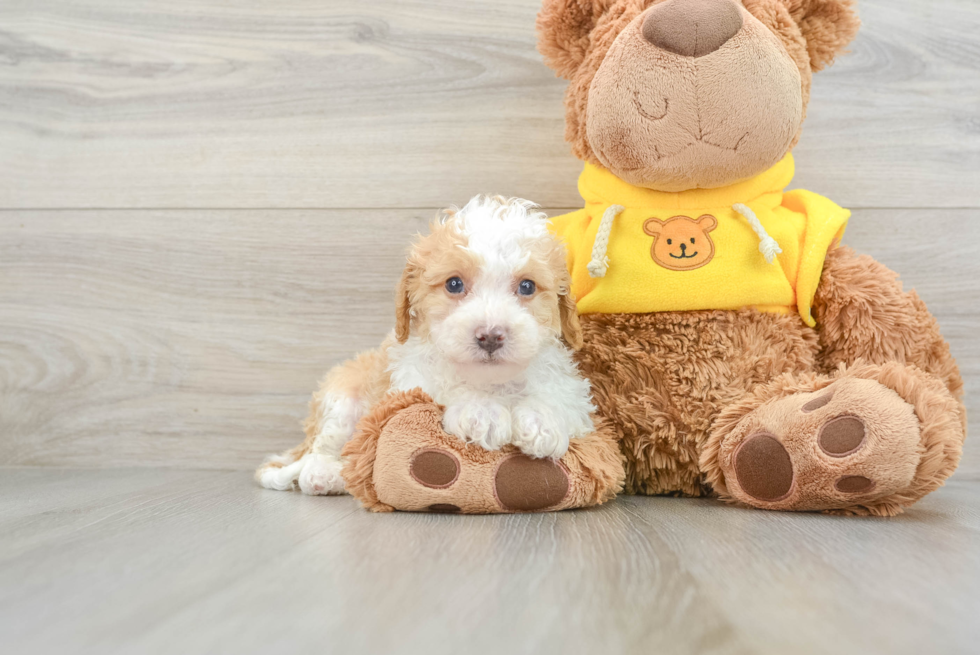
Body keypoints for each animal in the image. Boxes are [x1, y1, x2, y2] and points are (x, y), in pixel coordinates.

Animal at [256, 197, 592, 494]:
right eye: (454, 284)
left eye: (527, 286)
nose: (490, 335)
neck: (491, 382)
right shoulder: (411, 382)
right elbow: (446, 388)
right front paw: (481, 411)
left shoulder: (576, 396)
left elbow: (557, 396)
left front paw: (541, 420)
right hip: (341, 399)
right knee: (323, 448)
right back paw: (327, 474)